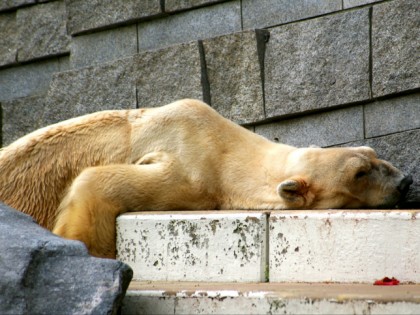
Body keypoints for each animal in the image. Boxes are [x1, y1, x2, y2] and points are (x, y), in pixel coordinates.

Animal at [0, 99, 414, 260]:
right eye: (360, 173)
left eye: (373, 154)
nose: (406, 181)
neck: (226, 146)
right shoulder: (192, 169)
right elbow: (99, 183)